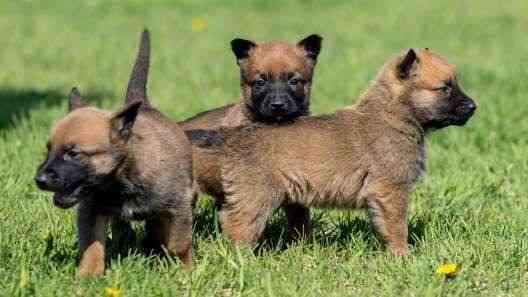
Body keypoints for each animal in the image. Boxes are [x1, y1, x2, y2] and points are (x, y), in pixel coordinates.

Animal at [35, 30, 196, 276]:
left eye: (73, 153)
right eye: (48, 149)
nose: (39, 180)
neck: (123, 178)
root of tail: (144, 105)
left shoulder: (178, 208)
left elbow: (179, 244)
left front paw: (186, 271)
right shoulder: (91, 211)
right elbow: (92, 246)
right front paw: (88, 275)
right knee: (124, 226)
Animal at [199, 48, 478, 254]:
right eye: (445, 87)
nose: (473, 106)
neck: (391, 115)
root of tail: (233, 136)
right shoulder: (391, 192)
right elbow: (397, 228)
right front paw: (402, 256)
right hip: (256, 198)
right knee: (238, 226)